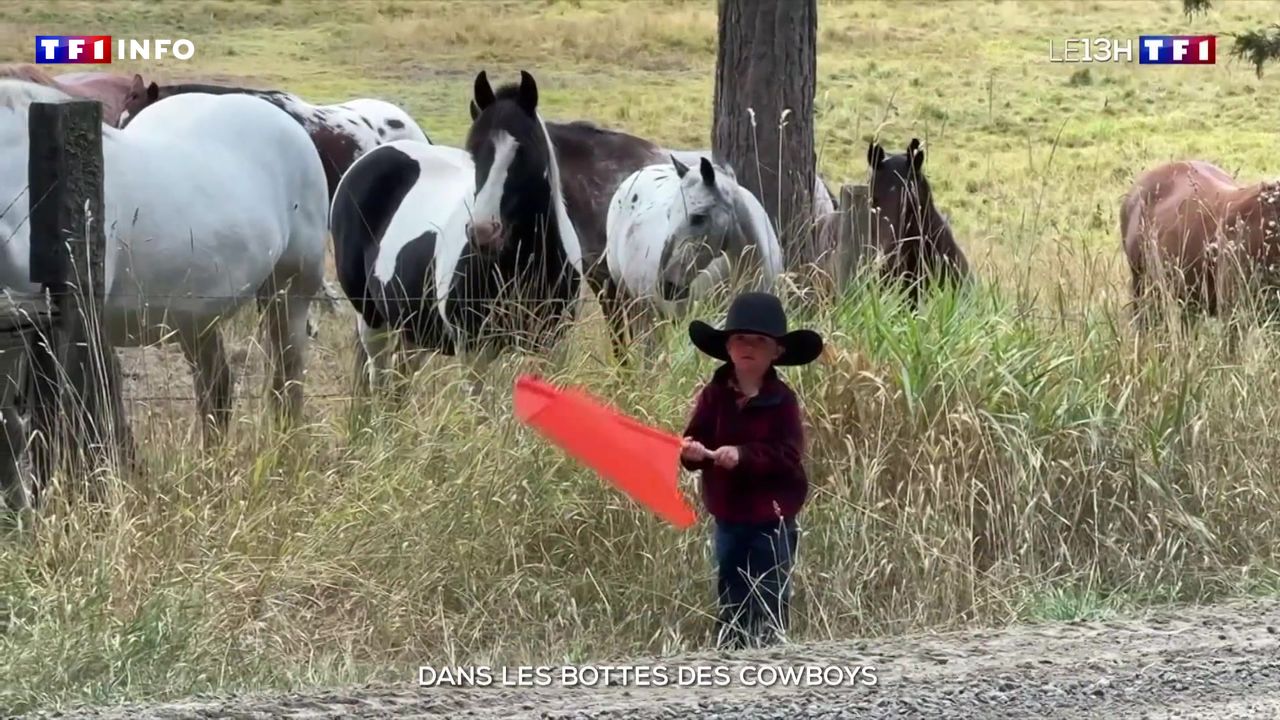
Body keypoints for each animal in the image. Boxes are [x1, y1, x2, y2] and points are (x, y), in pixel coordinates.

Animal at [332, 69, 586, 394]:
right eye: (474, 151)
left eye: (525, 152)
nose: (483, 233)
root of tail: (372, 157)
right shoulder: (475, 351)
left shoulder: (553, 346)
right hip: (371, 318)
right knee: (379, 379)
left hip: (412, 328)